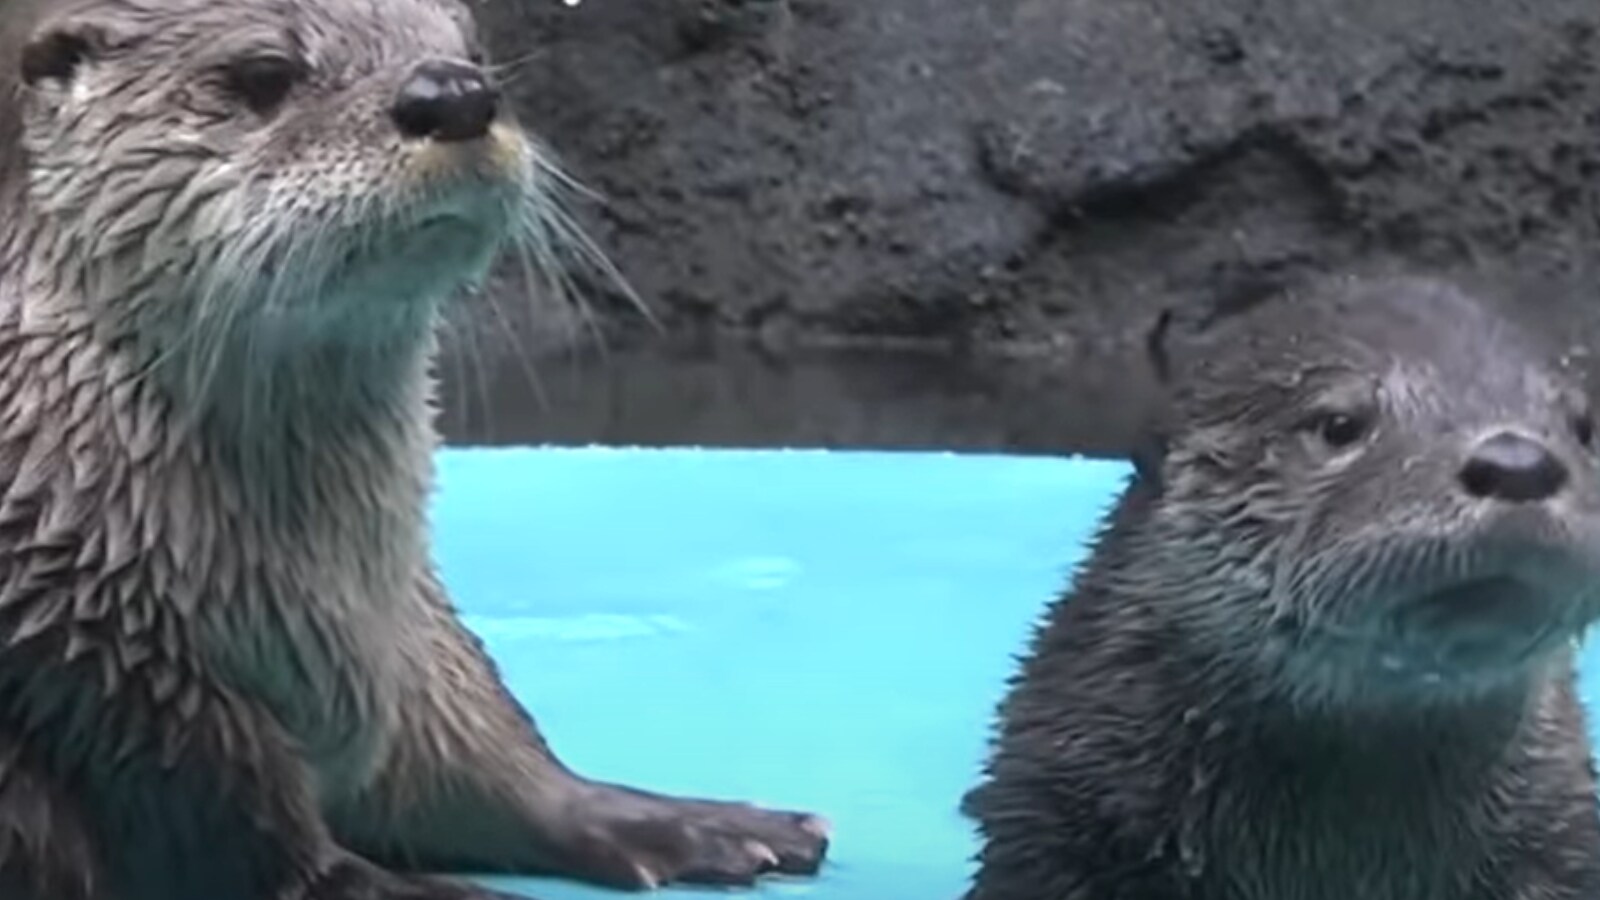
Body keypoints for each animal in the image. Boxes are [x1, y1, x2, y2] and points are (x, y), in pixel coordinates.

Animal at [0, 1, 828, 899]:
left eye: (472, 54)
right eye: (264, 73)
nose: (454, 94)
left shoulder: (403, 615)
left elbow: (464, 729)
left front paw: (681, 821)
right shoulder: (102, 650)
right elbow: (234, 822)